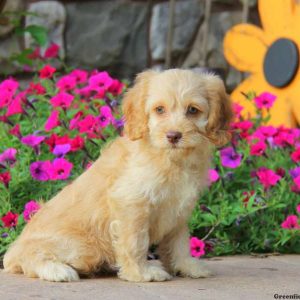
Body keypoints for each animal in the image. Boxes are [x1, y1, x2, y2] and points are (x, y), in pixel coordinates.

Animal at [3, 68, 232, 282]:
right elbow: (135, 242)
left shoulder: (179, 210)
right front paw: (141, 273)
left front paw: (188, 266)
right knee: (29, 258)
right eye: (159, 110)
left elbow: (179, 242)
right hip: (80, 247)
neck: (171, 159)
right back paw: (58, 270)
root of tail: (15, 248)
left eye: (193, 110)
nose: (173, 136)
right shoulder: (132, 203)